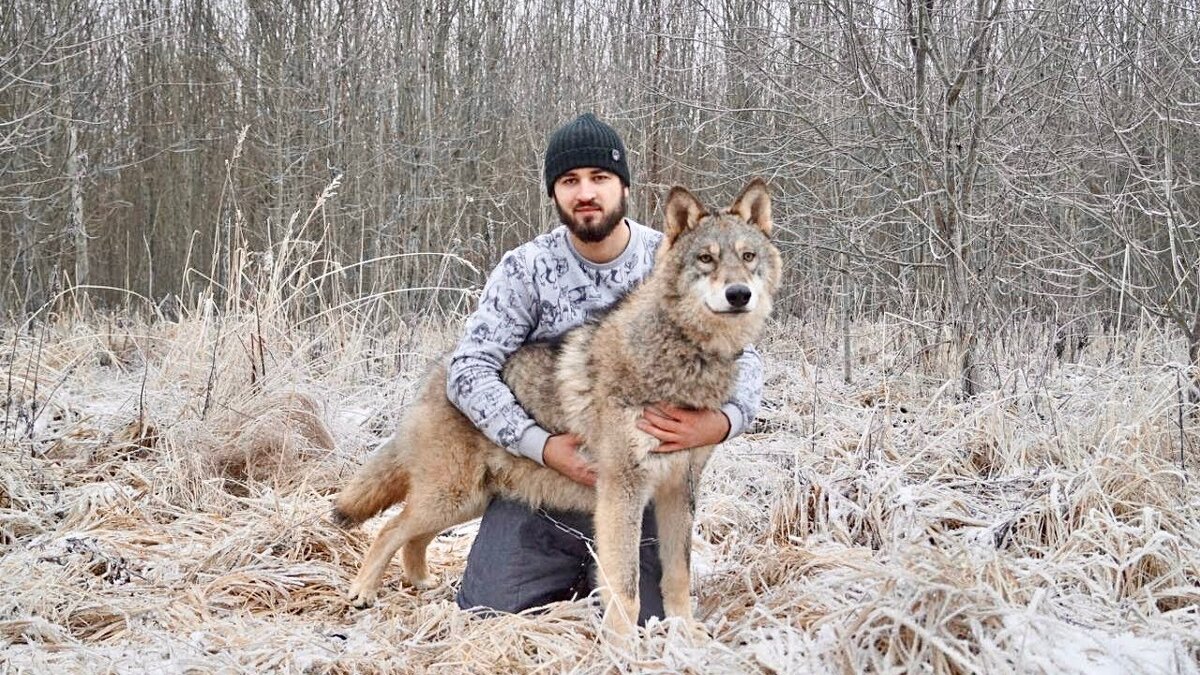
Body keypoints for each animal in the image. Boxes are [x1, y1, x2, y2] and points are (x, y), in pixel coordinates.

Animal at [331, 176, 777, 634]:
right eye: (706, 258)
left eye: (748, 256)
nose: (738, 294)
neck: (683, 357)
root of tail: (437, 374)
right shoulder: (623, 491)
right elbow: (626, 590)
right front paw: (624, 646)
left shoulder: (678, 490)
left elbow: (678, 577)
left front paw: (686, 636)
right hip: (450, 498)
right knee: (391, 528)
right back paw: (362, 591)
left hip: (462, 502)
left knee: (411, 537)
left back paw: (421, 581)